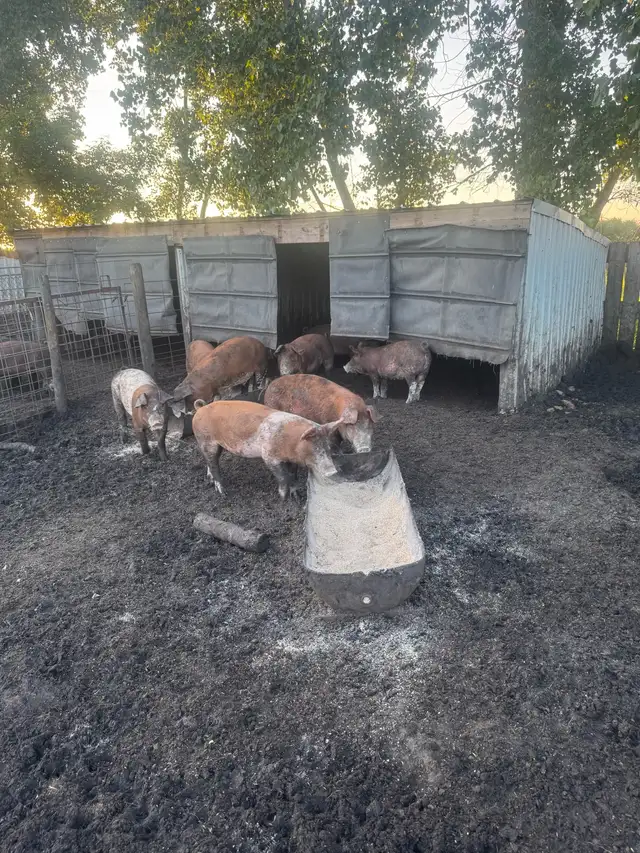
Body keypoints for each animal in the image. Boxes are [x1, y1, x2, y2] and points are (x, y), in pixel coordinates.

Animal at [192, 400, 344, 500]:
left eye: (328, 447)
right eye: (315, 448)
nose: (333, 471)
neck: (291, 443)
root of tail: (200, 408)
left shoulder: (292, 460)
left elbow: (293, 476)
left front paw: (296, 496)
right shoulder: (269, 457)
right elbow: (283, 477)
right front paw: (283, 498)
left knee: (210, 461)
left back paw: (210, 480)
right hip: (205, 440)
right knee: (213, 464)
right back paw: (224, 493)